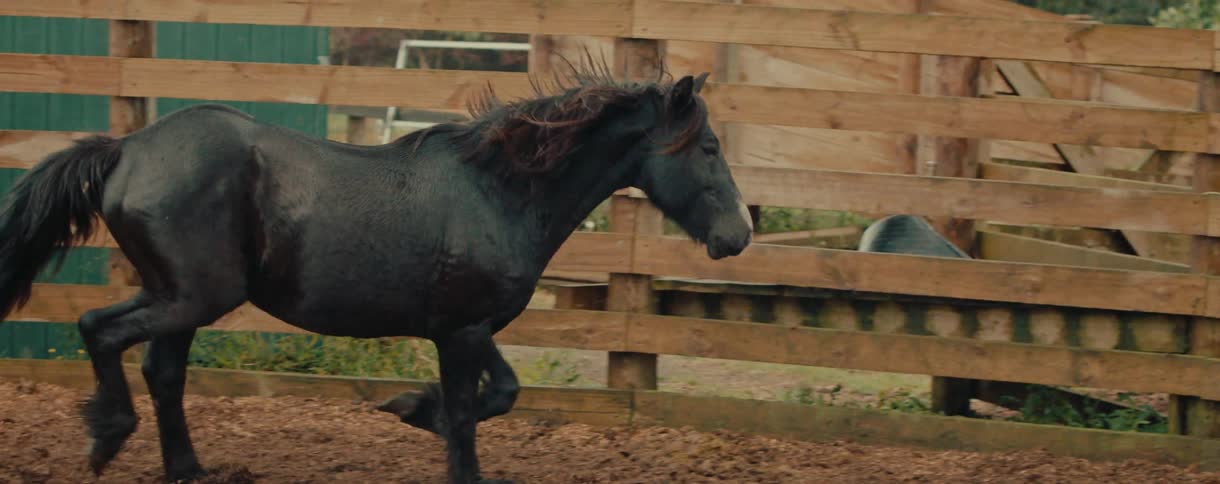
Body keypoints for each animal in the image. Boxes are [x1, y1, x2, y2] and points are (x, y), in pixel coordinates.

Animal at [0, 56, 752, 484]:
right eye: (709, 147)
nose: (738, 236)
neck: (500, 191)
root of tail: (125, 150)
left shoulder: (466, 329)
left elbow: (495, 397)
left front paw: (415, 412)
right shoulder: (462, 330)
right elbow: (475, 411)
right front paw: (432, 427)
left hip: (180, 299)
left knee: (161, 370)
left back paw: (187, 470)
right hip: (193, 296)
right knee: (98, 328)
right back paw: (105, 440)